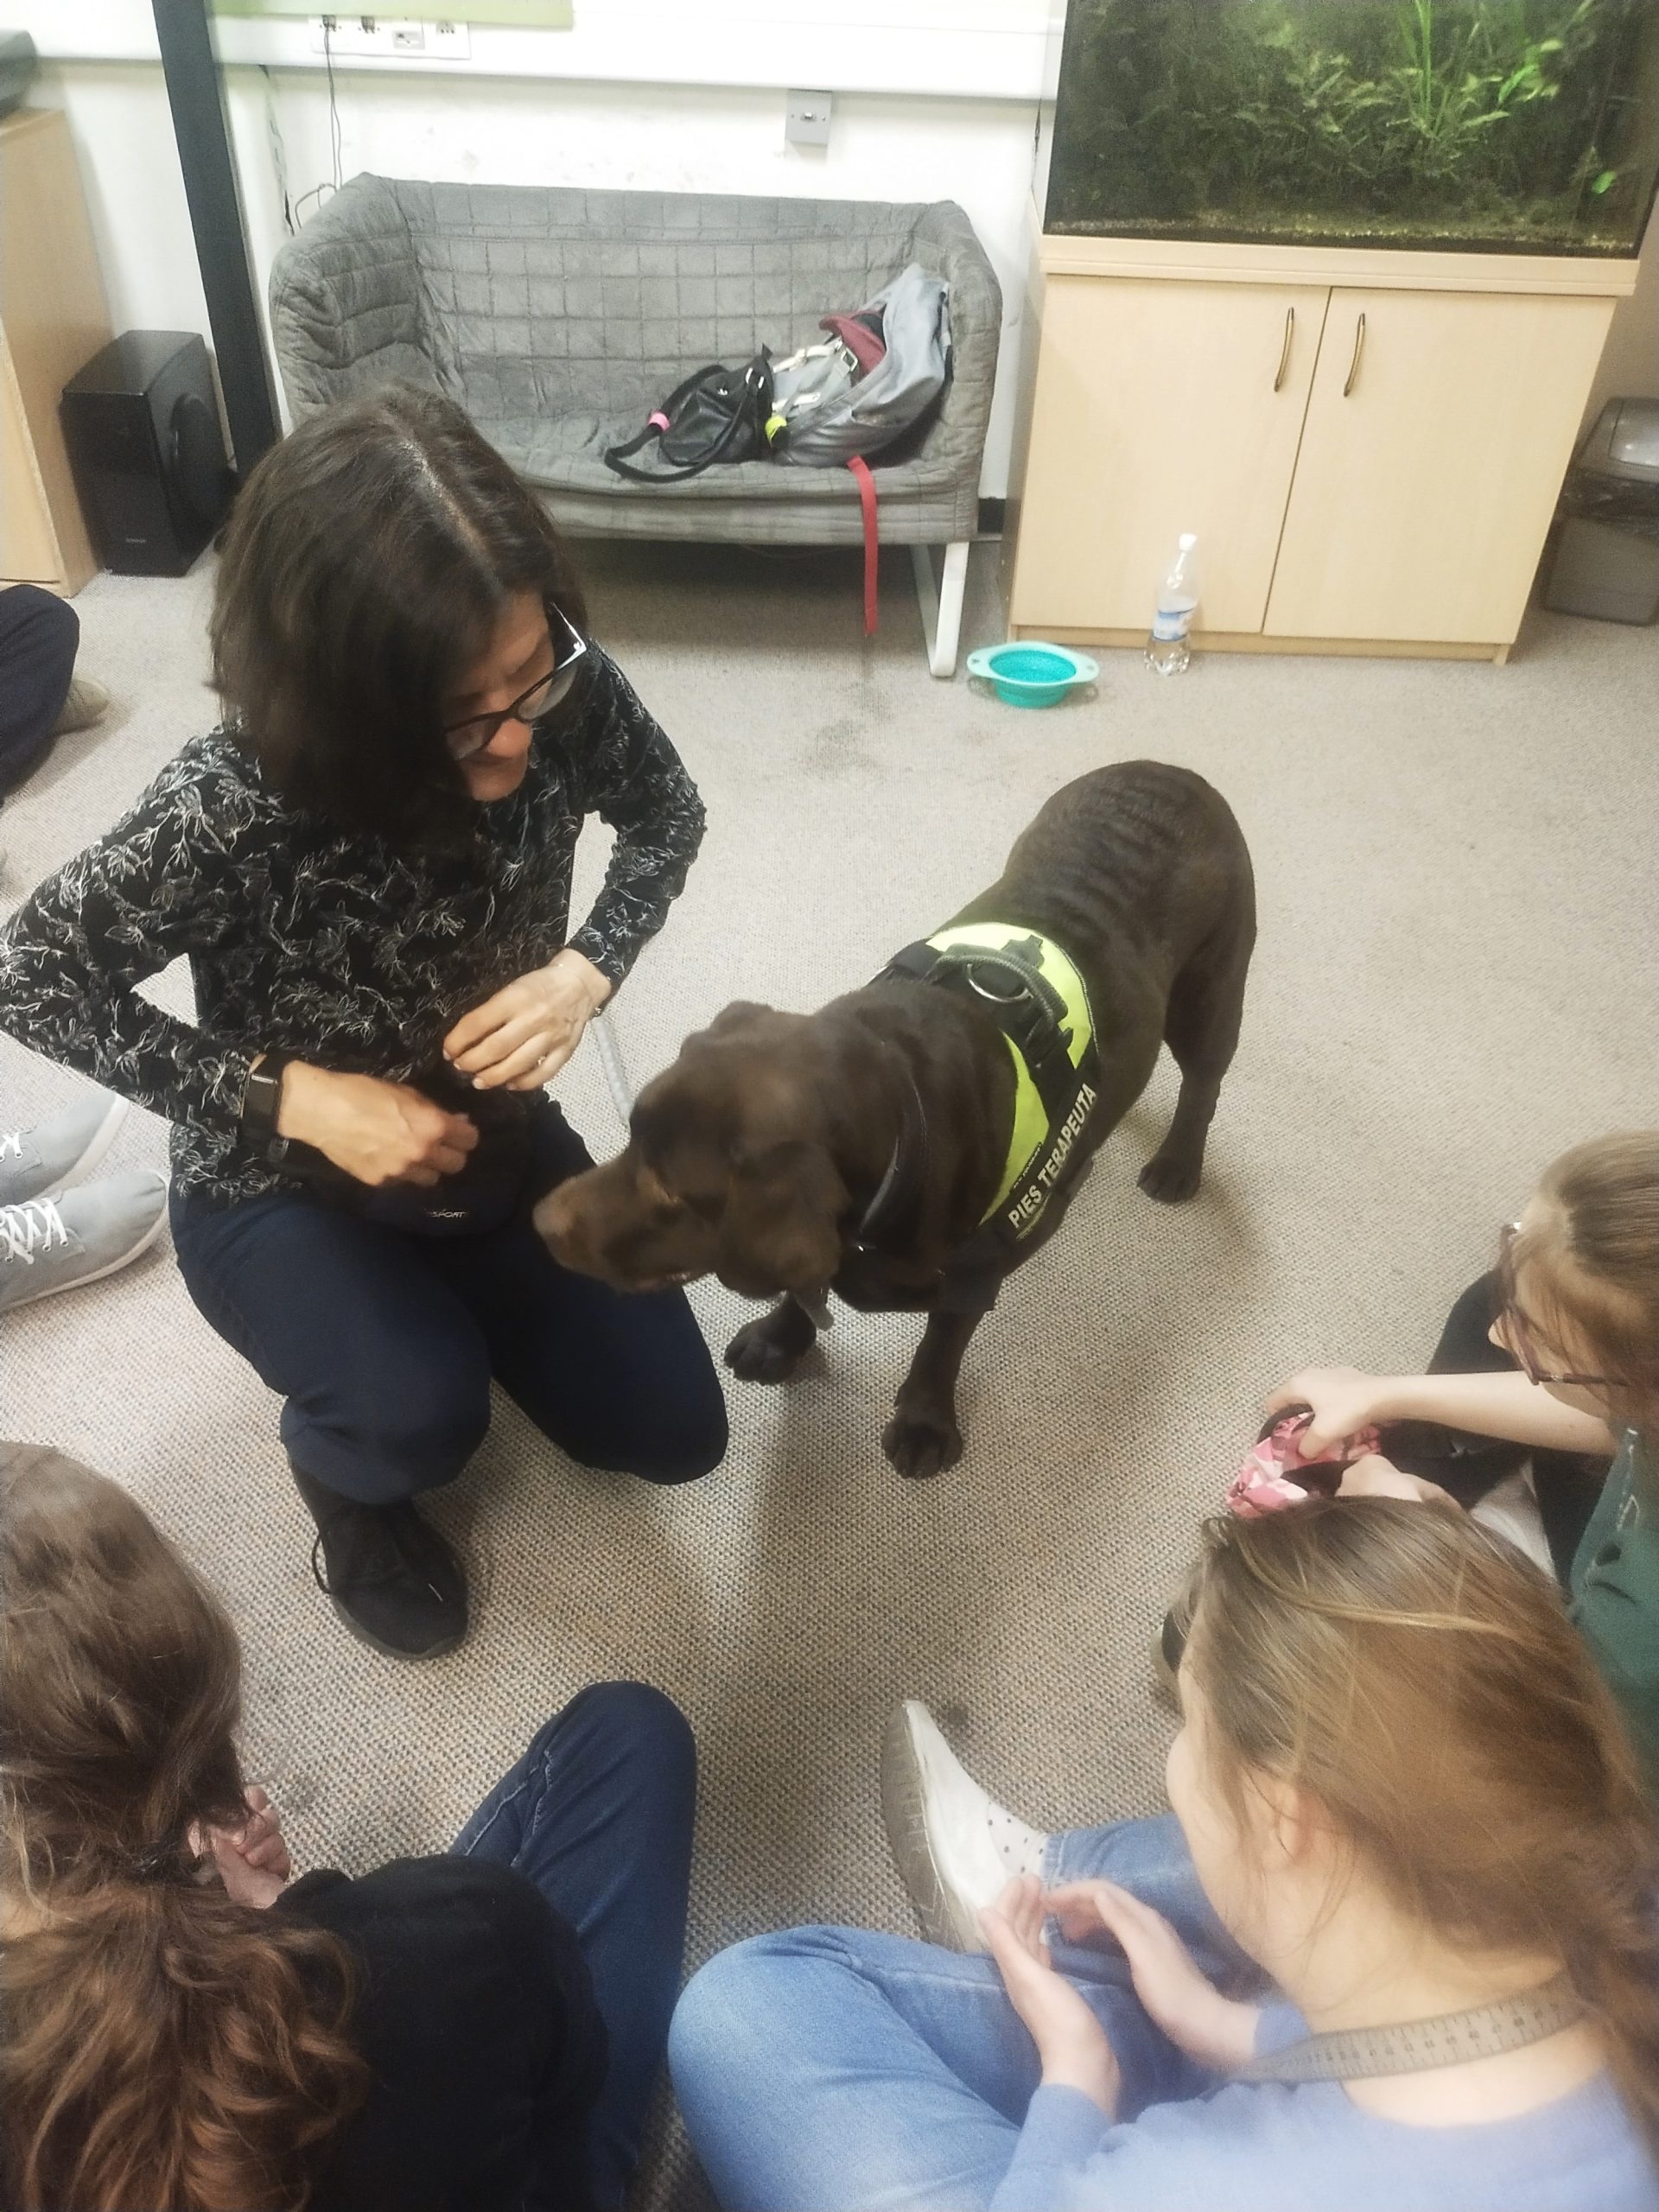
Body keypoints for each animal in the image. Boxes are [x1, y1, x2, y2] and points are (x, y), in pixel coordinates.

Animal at [537, 760, 1255, 1477]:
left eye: (670, 1194)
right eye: (631, 1137)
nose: (540, 1222)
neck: (904, 1108)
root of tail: (1169, 771)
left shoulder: (970, 1278)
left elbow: (941, 1347)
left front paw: (924, 1421)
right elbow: (806, 1285)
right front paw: (781, 1339)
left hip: (1211, 993)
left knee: (1204, 1083)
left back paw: (1177, 1163)